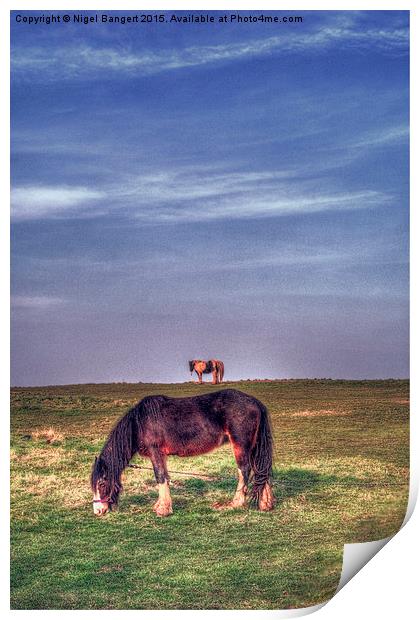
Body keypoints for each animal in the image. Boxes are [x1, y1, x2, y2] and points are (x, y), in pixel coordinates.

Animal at [91, 390, 274, 516]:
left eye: (102, 483)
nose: (98, 511)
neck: (139, 423)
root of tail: (256, 403)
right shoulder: (161, 455)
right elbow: (165, 476)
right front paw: (162, 505)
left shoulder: (155, 452)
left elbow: (159, 476)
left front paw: (163, 510)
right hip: (253, 447)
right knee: (260, 469)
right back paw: (266, 504)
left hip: (240, 445)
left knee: (244, 470)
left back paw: (236, 503)